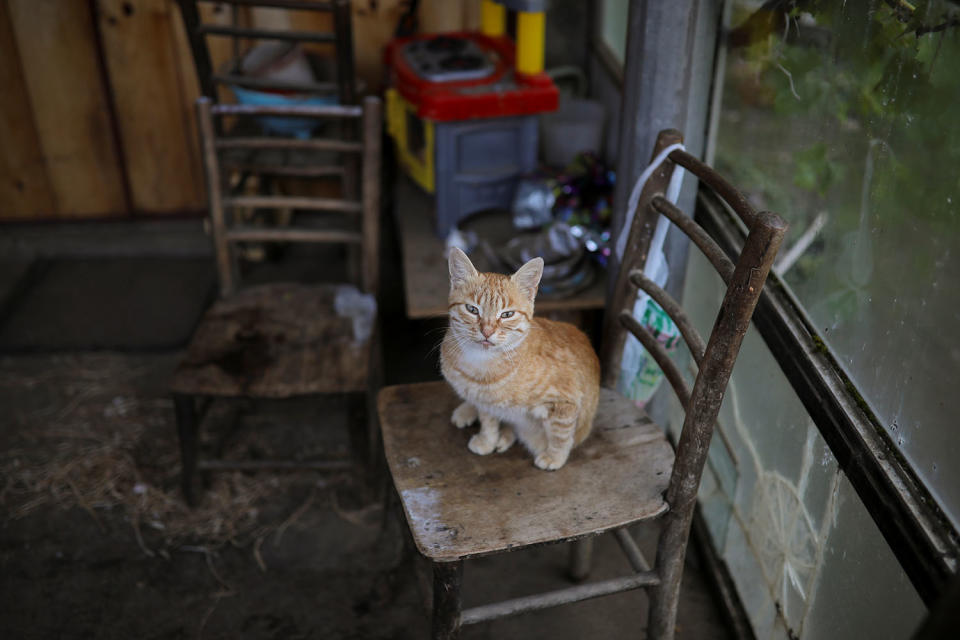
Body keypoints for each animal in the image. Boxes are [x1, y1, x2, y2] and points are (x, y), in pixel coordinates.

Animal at [442, 249, 600, 470]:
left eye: (507, 314)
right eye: (472, 309)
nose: (487, 331)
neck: (481, 365)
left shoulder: (566, 402)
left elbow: (561, 434)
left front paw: (555, 456)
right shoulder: (485, 402)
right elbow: (488, 420)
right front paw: (488, 439)